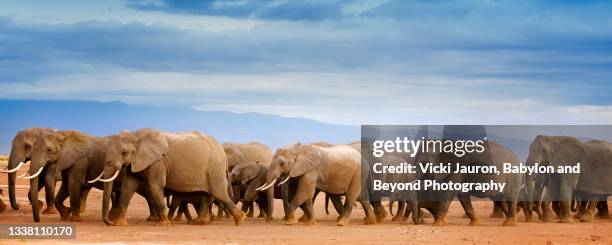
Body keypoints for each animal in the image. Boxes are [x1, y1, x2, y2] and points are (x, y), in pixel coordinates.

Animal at [99, 129, 245, 227]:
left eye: (124, 153)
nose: (110, 223)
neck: (136, 134)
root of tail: (223, 152)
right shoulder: (137, 161)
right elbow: (128, 187)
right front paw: (120, 224)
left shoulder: (158, 161)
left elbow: (155, 185)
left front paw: (163, 224)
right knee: (205, 194)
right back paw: (199, 222)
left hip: (214, 168)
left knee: (219, 192)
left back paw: (240, 219)